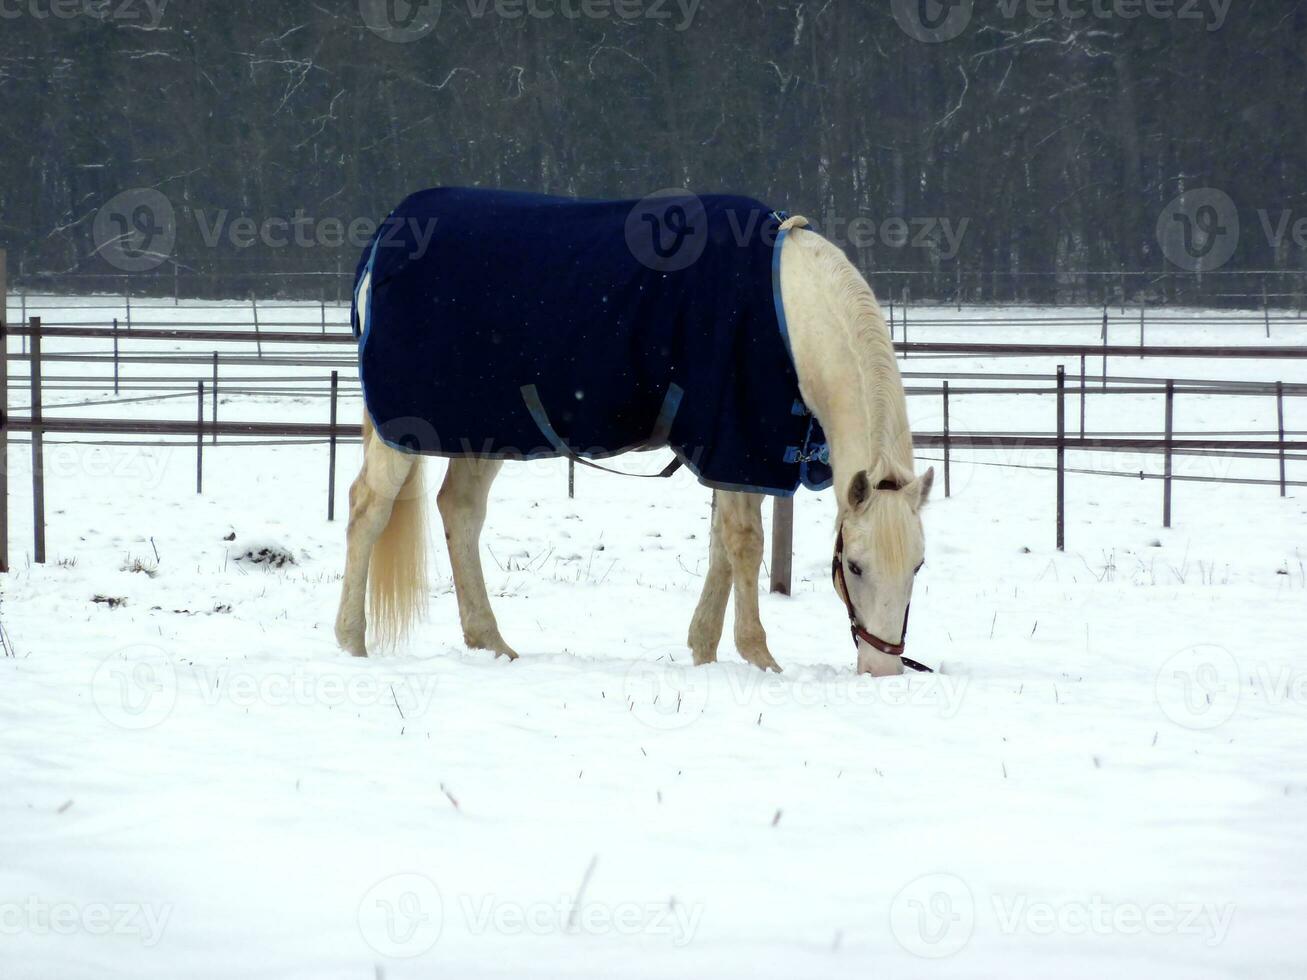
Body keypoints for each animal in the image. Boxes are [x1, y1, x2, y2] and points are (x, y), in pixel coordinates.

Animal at [334, 216, 930, 674]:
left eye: (918, 567)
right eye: (854, 566)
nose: (882, 669)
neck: (791, 314)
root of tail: (383, 242)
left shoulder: (736, 455)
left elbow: (721, 544)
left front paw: (704, 651)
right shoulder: (734, 440)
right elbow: (745, 544)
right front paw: (759, 658)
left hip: (484, 432)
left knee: (459, 510)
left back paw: (492, 643)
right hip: (403, 430)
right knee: (369, 509)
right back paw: (352, 643)